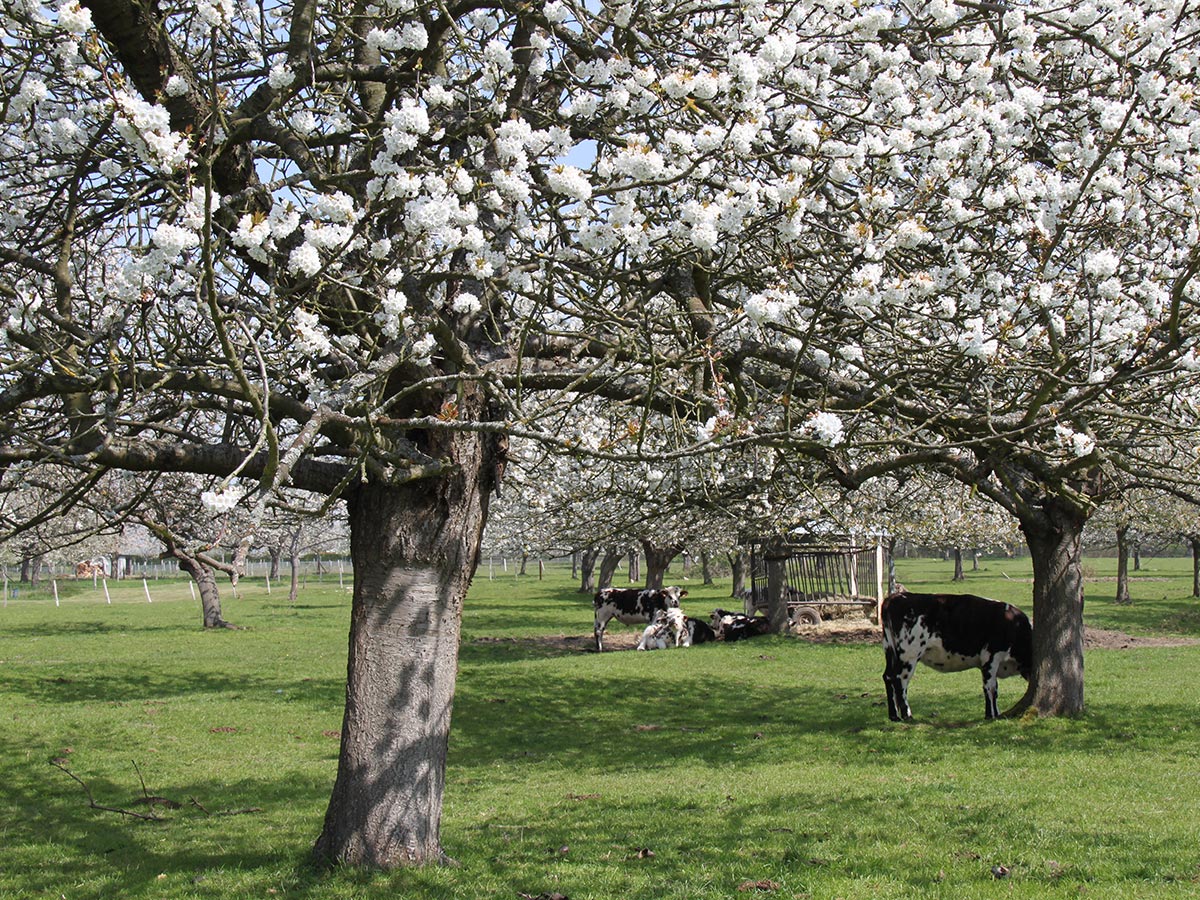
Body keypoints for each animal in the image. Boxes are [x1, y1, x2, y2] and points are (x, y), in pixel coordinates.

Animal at [883, 592, 1032, 724]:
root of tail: (896, 596)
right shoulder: (990, 658)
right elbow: (989, 688)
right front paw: (990, 715)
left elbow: (995, 689)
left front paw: (997, 713)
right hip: (909, 654)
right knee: (900, 680)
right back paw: (907, 715)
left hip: (890, 650)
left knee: (888, 677)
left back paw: (894, 716)